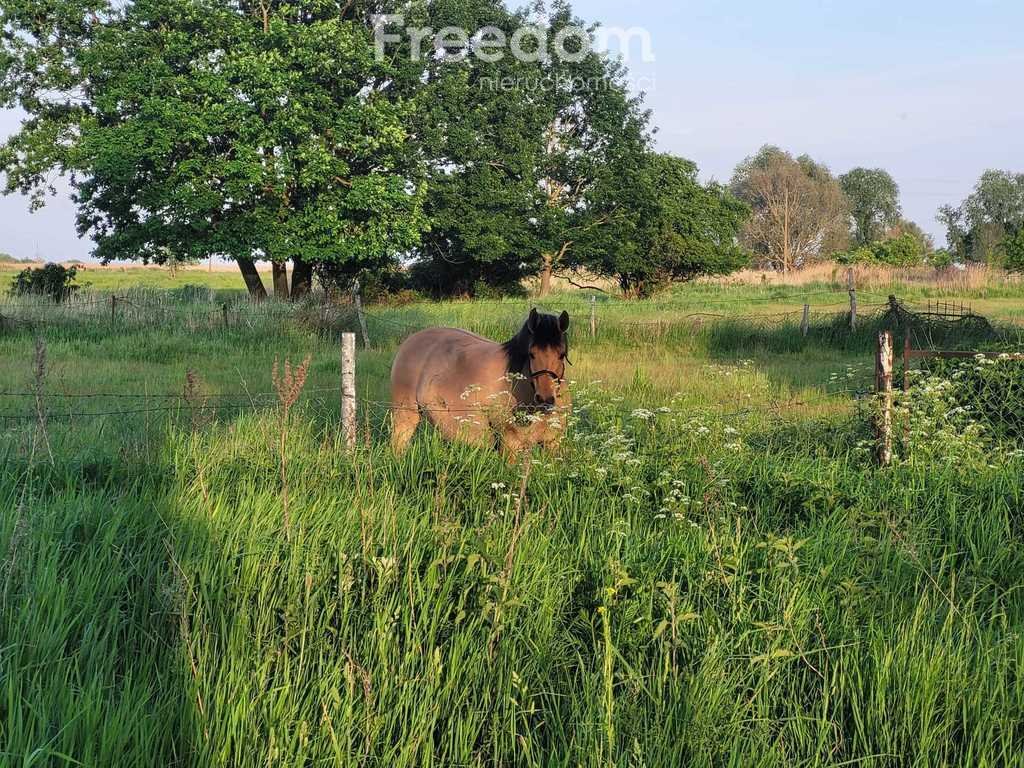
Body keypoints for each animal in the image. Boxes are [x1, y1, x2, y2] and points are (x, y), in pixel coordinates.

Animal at [389, 309, 573, 456]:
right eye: (531, 354)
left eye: (561, 354)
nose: (545, 398)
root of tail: (410, 341)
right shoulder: (510, 446)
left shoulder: (553, 445)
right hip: (405, 416)